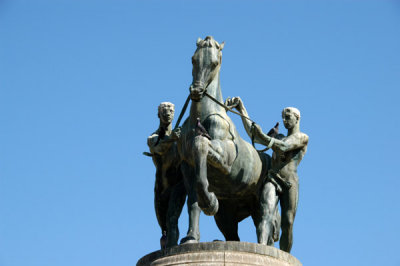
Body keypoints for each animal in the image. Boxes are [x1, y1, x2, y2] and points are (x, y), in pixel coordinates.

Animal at [177, 36, 278, 246]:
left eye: (215, 63)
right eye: (193, 59)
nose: (197, 90)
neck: (203, 118)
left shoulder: (225, 161)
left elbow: (201, 146)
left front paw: (210, 202)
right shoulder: (187, 166)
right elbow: (193, 201)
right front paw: (191, 237)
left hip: (265, 200)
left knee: (265, 224)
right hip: (227, 215)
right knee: (234, 235)